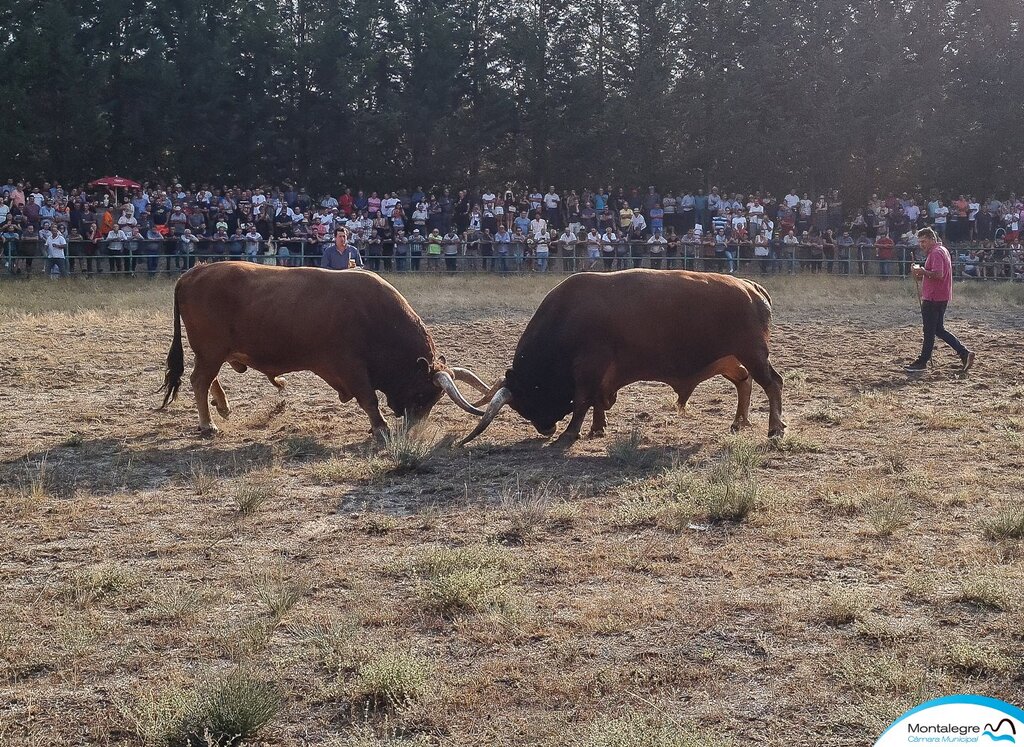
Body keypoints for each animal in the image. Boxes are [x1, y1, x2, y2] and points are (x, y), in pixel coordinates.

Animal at [157, 262, 493, 436]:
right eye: (423, 393)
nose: (412, 427)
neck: (374, 316)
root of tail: (194, 272)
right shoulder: (350, 366)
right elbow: (369, 399)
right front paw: (380, 428)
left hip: (212, 352)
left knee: (208, 379)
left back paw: (223, 407)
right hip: (211, 350)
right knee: (199, 380)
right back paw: (208, 424)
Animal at [460, 268, 786, 442]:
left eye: (525, 401)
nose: (545, 428)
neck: (566, 317)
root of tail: (750, 287)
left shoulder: (589, 367)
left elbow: (582, 400)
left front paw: (571, 432)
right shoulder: (601, 374)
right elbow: (595, 401)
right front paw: (597, 427)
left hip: (752, 353)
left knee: (773, 383)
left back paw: (775, 428)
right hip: (729, 359)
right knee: (744, 381)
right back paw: (739, 422)